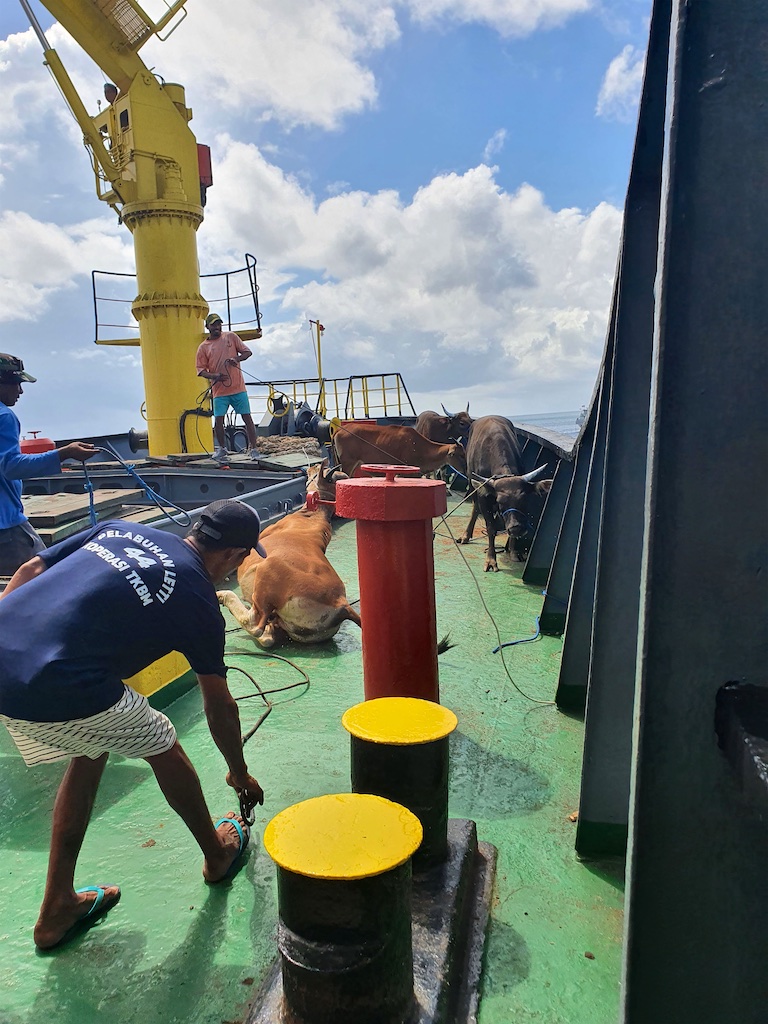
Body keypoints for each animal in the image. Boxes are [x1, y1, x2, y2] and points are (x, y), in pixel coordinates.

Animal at [217, 466, 360, 646]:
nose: (310, 467)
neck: (314, 514)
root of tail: (341, 604)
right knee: (268, 636)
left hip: (268, 569)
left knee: (256, 625)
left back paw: (223, 595)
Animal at [458, 415, 552, 572]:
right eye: (500, 502)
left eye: (524, 499)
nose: (516, 528)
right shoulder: (484, 496)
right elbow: (490, 528)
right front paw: (491, 560)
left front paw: (514, 552)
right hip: (473, 486)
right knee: (475, 508)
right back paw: (466, 535)